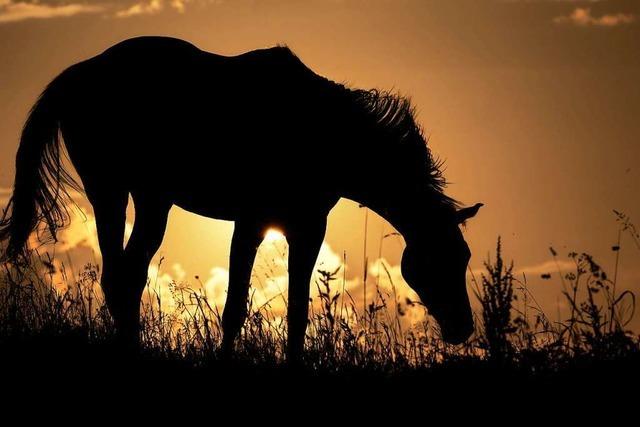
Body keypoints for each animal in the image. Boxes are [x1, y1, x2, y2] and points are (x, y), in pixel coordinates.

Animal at [0, 36, 480, 362]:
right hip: (114, 190)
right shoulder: (251, 222)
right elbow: (233, 307)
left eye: (465, 257)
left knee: (127, 276)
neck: (324, 132)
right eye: (436, 260)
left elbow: (298, 310)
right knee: (120, 276)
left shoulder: (307, 227)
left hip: (149, 200)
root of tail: (78, 74)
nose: (463, 328)